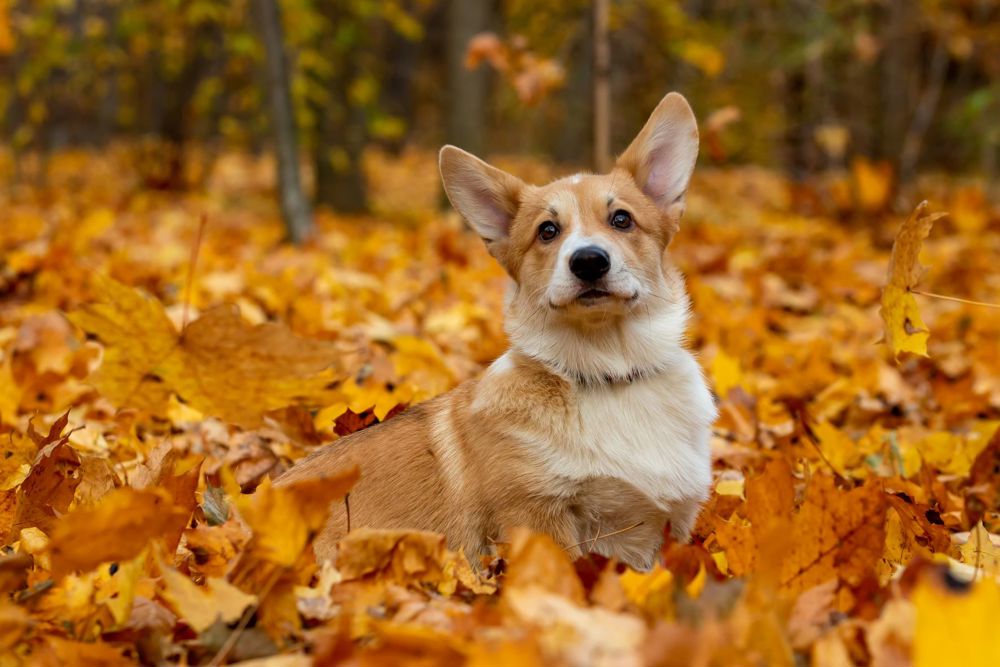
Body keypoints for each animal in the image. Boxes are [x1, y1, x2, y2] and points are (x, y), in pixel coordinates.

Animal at [280, 92, 720, 576]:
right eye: (547, 231)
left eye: (622, 220)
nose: (588, 261)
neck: (609, 372)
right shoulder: (537, 515)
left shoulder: (671, 527)